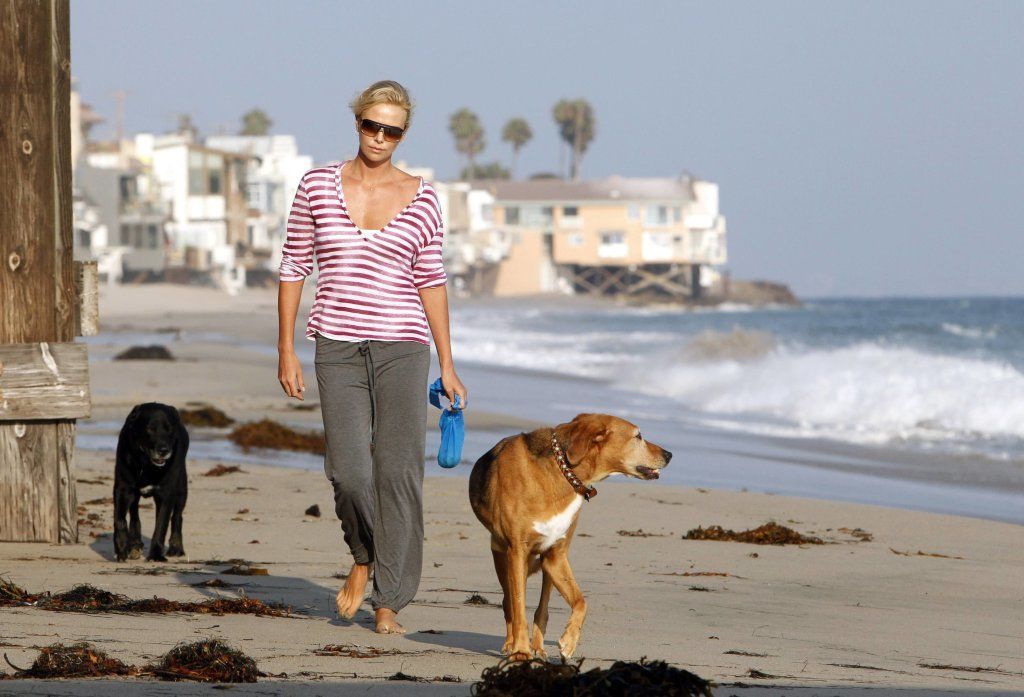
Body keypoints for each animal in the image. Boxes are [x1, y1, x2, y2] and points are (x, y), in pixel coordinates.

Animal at [113, 403, 189, 560]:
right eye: (150, 428)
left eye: (169, 428)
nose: (164, 450)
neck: (146, 464)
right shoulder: (123, 488)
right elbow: (120, 519)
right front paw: (122, 547)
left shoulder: (166, 494)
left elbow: (161, 526)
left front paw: (155, 555)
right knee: (134, 514)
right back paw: (134, 544)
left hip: (181, 489)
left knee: (177, 517)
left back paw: (176, 548)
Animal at [466, 413, 671, 663]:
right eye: (638, 436)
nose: (669, 455)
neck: (562, 471)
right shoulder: (517, 551)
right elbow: (518, 607)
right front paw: (521, 650)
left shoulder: (557, 556)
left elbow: (581, 602)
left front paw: (568, 643)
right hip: (502, 557)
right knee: (509, 603)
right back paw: (512, 643)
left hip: (545, 564)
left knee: (542, 608)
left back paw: (539, 647)